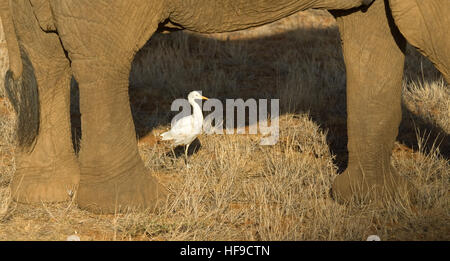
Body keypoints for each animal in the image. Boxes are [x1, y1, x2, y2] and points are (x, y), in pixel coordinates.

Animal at [0, 0, 448, 213]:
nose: (207, 102)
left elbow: (374, 41)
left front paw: (378, 202)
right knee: (101, 61)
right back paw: (133, 205)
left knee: (46, 58)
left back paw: (46, 195)